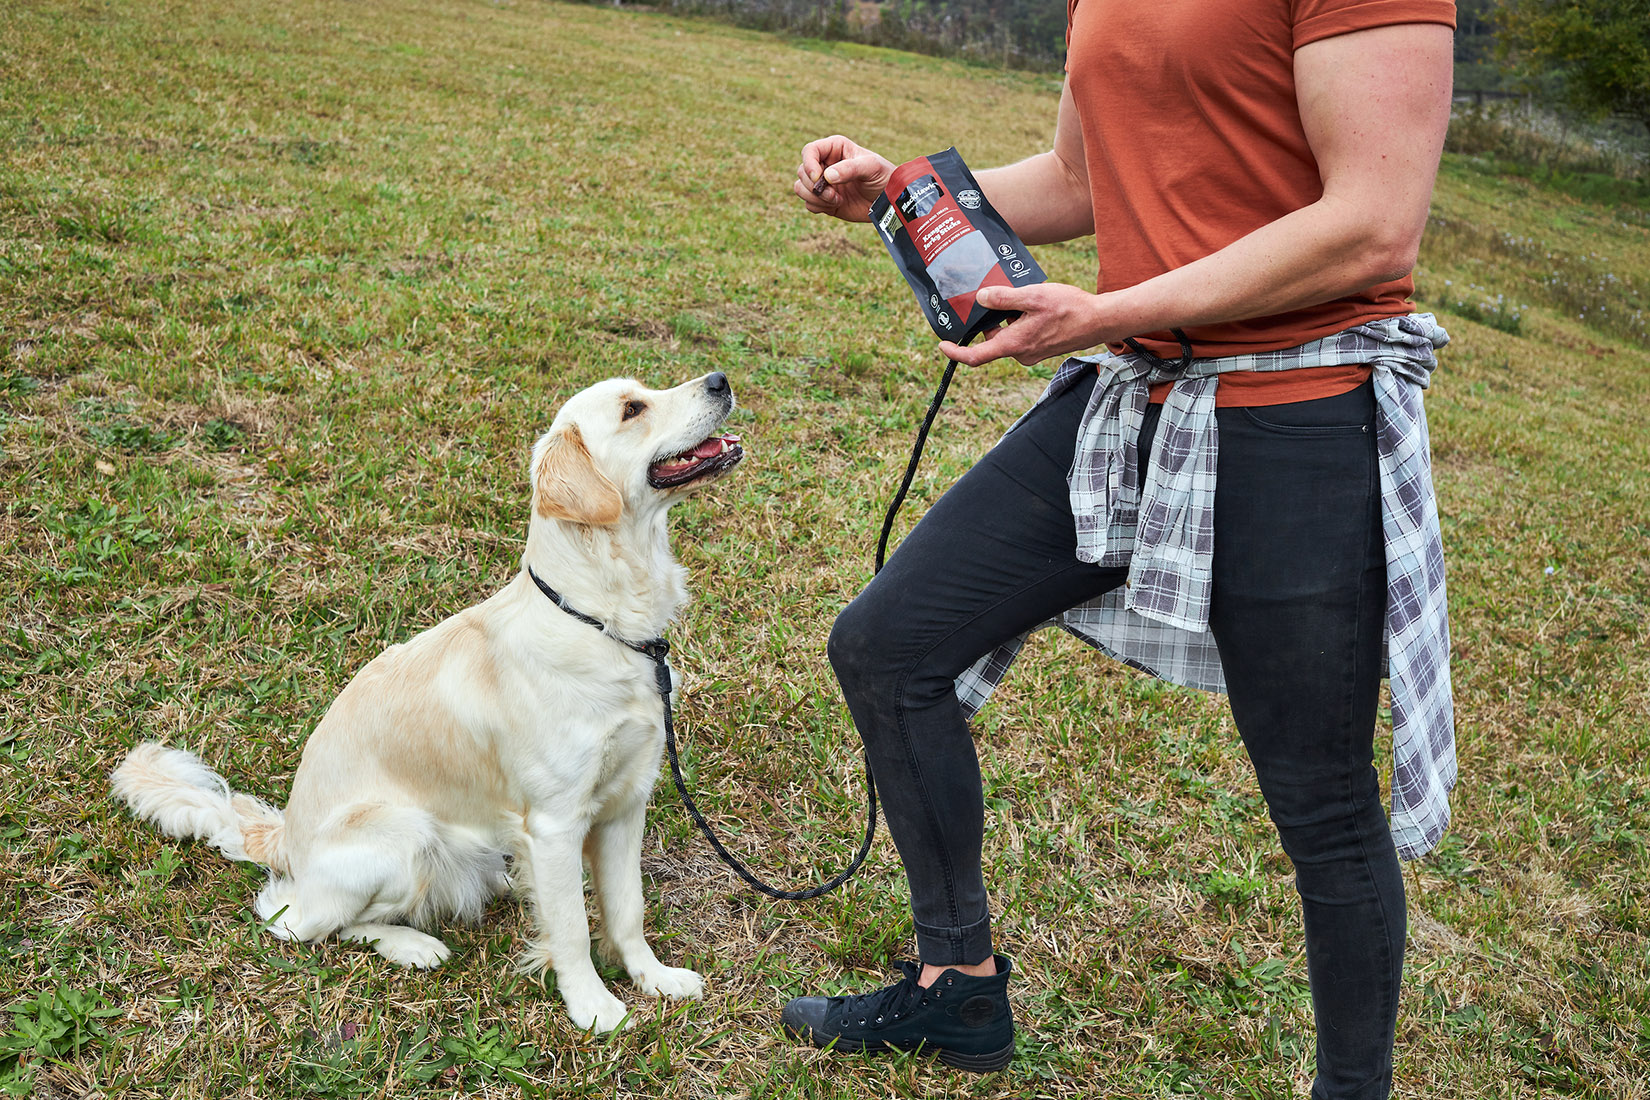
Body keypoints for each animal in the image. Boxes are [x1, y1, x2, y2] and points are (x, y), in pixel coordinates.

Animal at [112, 371, 744, 1031]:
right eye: (633, 409)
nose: (720, 380)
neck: (601, 619)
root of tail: (285, 836)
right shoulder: (555, 821)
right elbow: (570, 928)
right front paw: (593, 1006)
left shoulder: (625, 802)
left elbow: (627, 909)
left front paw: (654, 978)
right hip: (404, 833)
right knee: (301, 920)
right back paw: (413, 944)